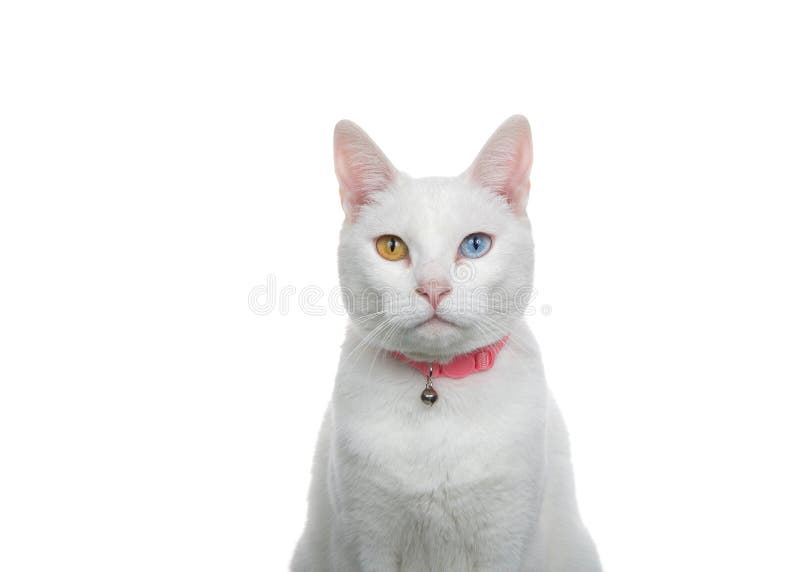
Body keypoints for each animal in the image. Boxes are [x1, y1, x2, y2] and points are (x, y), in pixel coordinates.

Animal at [292, 116, 600, 572]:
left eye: (475, 245)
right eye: (391, 247)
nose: (433, 288)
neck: (438, 386)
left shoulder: (505, 544)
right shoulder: (369, 544)